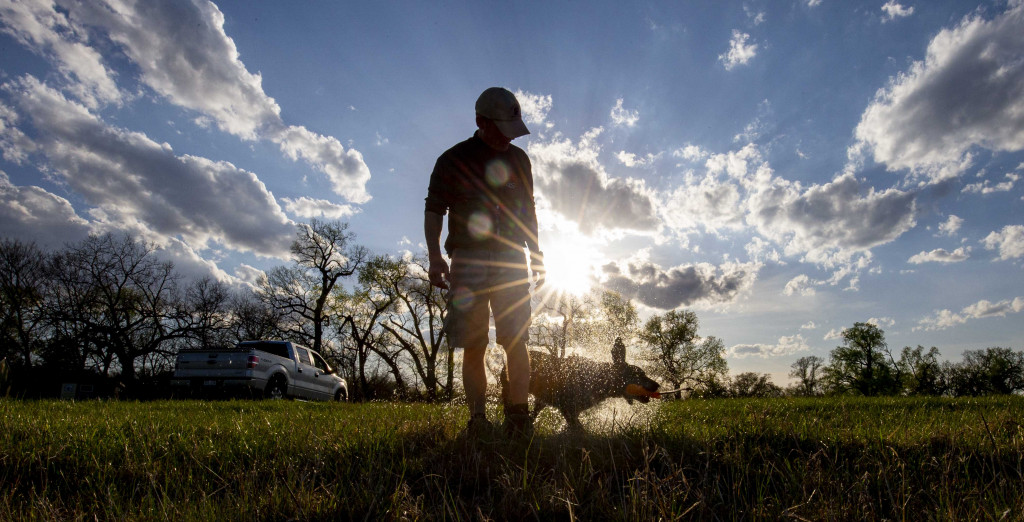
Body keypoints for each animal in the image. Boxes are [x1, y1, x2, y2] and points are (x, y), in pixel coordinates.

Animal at [503, 339, 663, 429]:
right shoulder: (568, 408)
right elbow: (579, 430)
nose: (657, 385)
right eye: (640, 374)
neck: (602, 379)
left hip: (540, 401)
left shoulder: (574, 411)